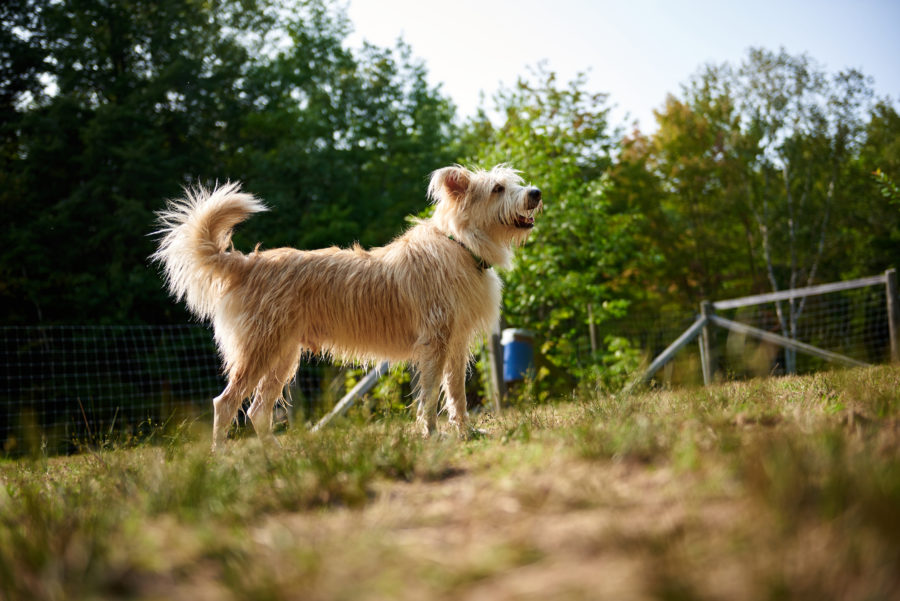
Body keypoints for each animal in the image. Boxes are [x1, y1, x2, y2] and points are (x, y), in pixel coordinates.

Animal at [153, 165, 540, 450]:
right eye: (497, 188)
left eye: (515, 183)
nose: (535, 193)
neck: (459, 244)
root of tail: (246, 263)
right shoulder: (435, 343)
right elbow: (430, 397)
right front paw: (431, 435)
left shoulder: (455, 345)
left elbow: (456, 395)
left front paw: (465, 433)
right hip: (259, 351)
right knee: (225, 402)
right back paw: (221, 454)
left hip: (282, 356)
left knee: (258, 408)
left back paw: (273, 453)